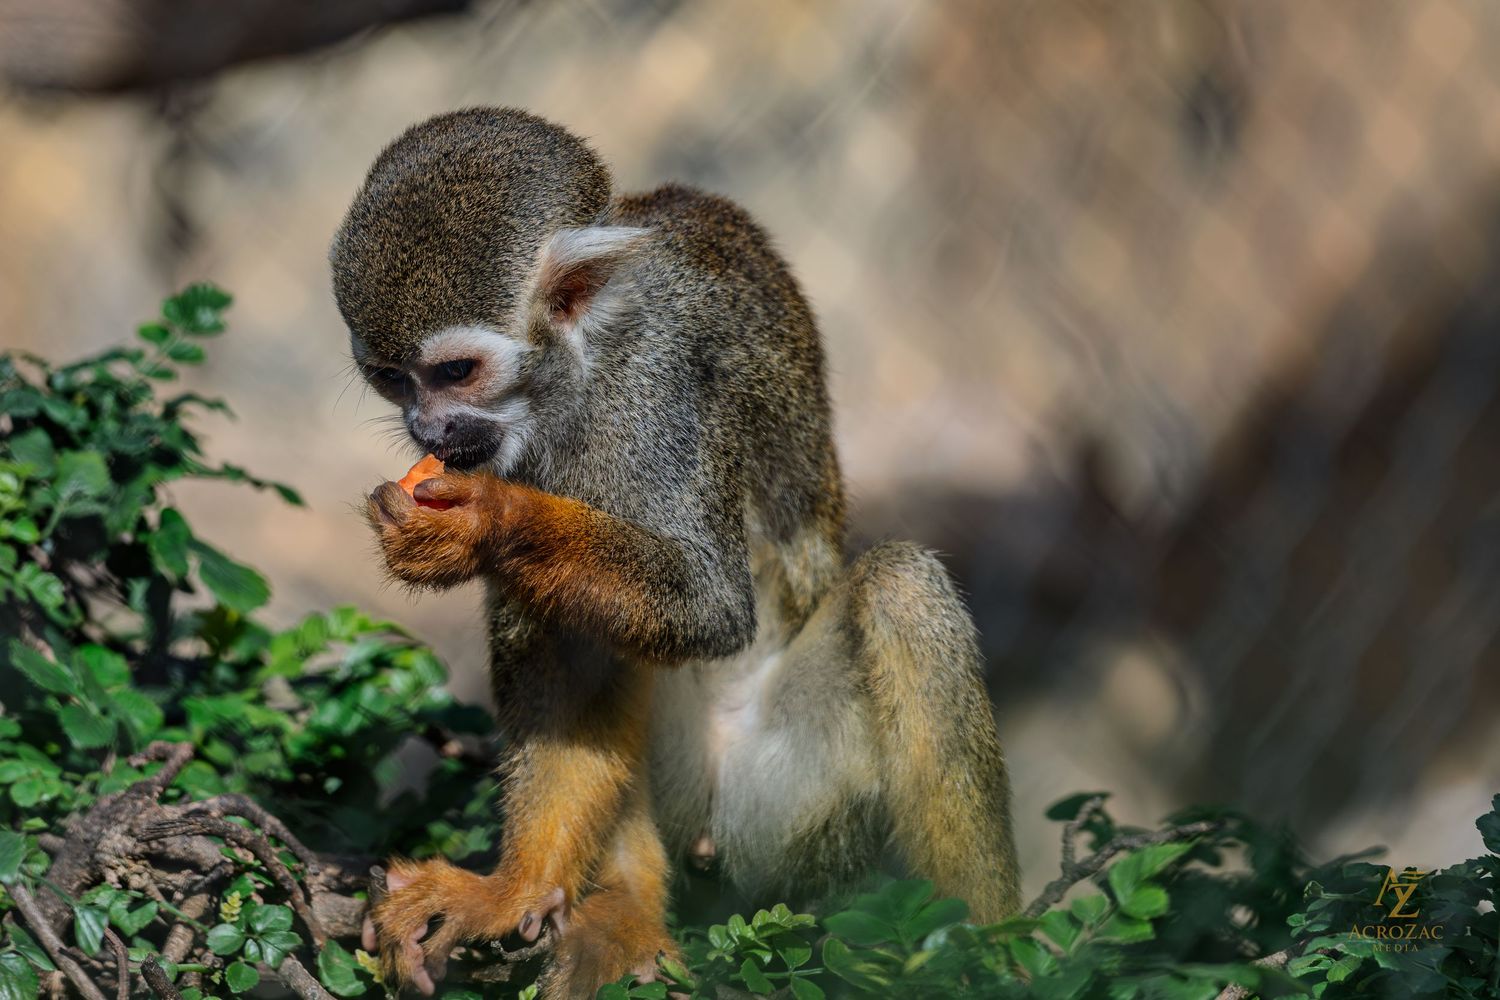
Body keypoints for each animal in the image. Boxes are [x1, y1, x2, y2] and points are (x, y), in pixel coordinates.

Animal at [330, 107, 1020, 998]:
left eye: (454, 372)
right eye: (392, 380)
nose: (427, 431)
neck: (575, 373)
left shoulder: (657, 387)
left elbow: (708, 606)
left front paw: (484, 522)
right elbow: (573, 652)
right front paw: (512, 888)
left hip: (797, 805)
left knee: (899, 586)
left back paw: (988, 957)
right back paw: (626, 907)